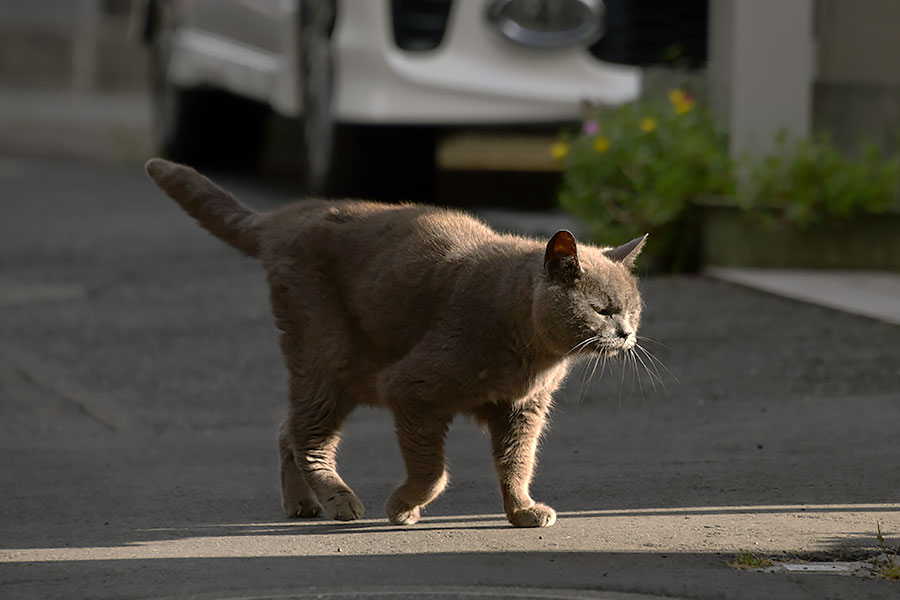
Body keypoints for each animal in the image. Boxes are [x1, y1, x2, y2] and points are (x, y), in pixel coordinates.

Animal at [148, 157, 652, 528]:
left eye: (633, 309)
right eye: (602, 309)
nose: (626, 332)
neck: (530, 353)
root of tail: (285, 217)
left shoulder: (522, 409)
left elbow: (517, 461)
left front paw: (522, 510)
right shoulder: (412, 388)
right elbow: (432, 469)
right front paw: (403, 507)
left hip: (333, 369)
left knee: (286, 430)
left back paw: (303, 505)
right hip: (325, 355)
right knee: (307, 435)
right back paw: (341, 502)